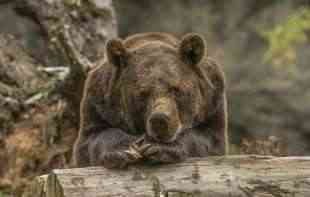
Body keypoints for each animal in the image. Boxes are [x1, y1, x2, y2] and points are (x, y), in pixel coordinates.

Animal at [72, 32, 228, 168]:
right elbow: (92, 138)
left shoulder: (212, 102)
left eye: (175, 89)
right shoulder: (98, 103)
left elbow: (206, 138)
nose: (160, 119)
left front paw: (158, 147)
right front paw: (125, 150)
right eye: (143, 93)